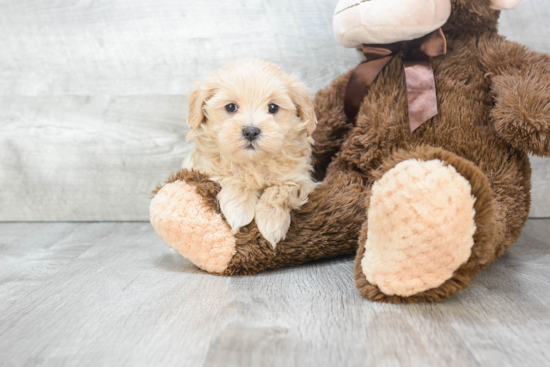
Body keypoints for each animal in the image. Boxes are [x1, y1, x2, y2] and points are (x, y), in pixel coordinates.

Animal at [183, 58, 316, 247]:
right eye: (231, 107)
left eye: (273, 107)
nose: (251, 131)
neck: (254, 162)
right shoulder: (204, 168)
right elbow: (233, 177)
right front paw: (238, 210)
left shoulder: (300, 180)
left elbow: (280, 189)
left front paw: (271, 221)